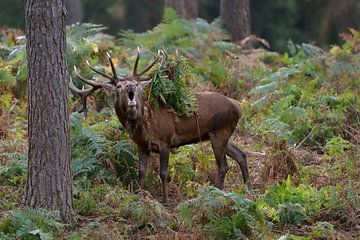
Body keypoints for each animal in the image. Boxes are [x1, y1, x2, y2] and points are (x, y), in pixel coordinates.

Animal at [69, 48, 250, 202]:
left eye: (136, 84)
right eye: (119, 86)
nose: (130, 86)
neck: (144, 128)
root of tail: (239, 106)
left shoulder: (165, 141)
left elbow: (163, 173)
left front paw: (165, 199)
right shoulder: (142, 146)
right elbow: (141, 172)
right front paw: (140, 195)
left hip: (220, 131)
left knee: (223, 166)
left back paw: (217, 192)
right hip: (221, 134)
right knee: (241, 155)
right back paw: (248, 189)